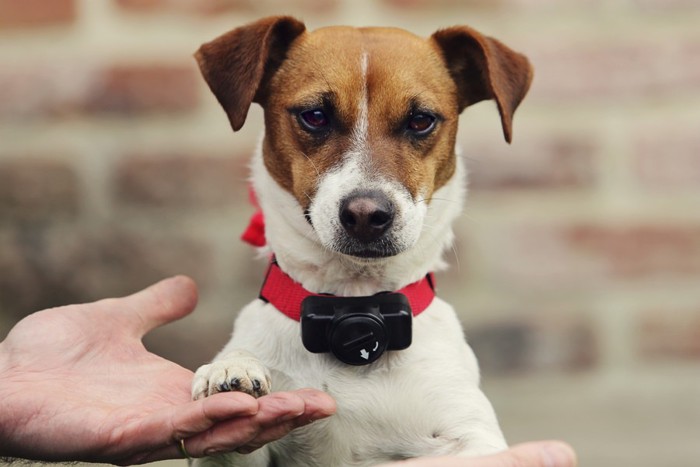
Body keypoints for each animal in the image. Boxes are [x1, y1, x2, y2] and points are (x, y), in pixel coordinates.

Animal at [190, 16, 532, 466]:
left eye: (421, 120)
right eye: (315, 116)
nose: (367, 216)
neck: (355, 304)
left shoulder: (474, 435)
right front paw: (231, 368)